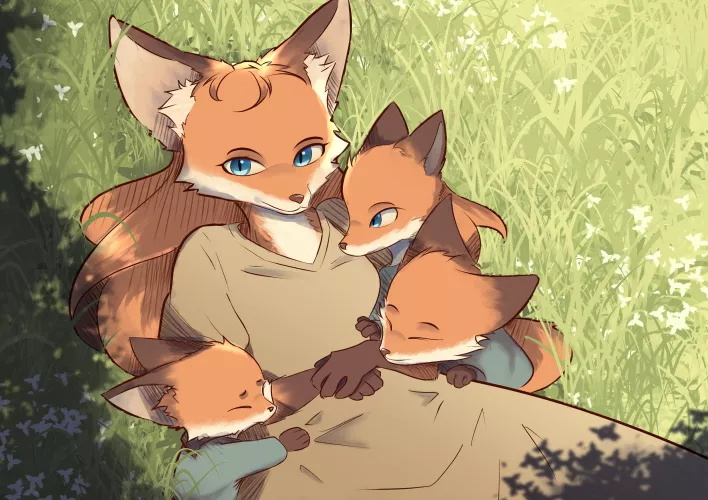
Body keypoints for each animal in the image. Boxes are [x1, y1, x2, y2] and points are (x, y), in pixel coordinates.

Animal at [356, 195, 572, 393]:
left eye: (423, 336)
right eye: (391, 318)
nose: (385, 351)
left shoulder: (509, 365)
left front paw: (464, 372)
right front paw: (372, 328)